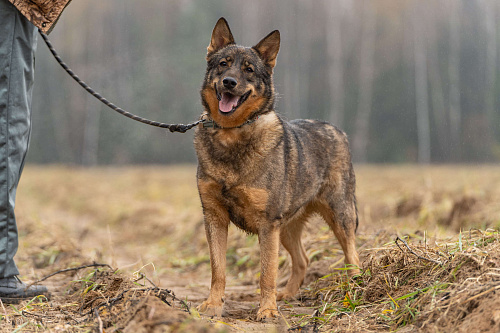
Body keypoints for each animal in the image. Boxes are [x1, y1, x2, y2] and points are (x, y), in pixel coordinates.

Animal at [193, 18, 362, 320]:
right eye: (223, 64)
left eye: (249, 70)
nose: (229, 82)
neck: (231, 134)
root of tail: (338, 130)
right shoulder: (214, 217)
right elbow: (218, 269)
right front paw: (213, 305)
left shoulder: (267, 224)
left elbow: (266, 273)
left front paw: (267, 311)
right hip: (287, 228)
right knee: (303, 259)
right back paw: (289, 294)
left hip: (339, 215)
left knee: (353, 255)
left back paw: (352, 290)